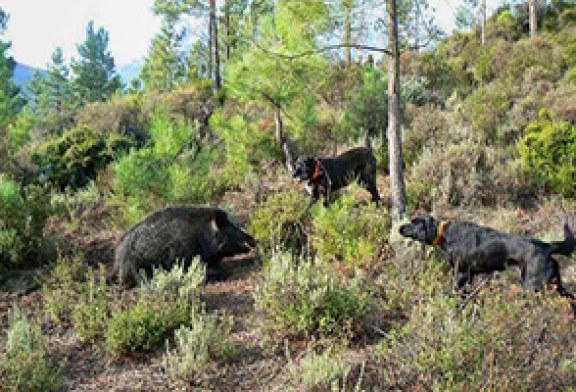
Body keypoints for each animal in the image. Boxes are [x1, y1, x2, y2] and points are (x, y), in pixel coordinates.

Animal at [400, 214, 576, 298]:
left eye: (414, 222)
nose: (399, 228)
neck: (445, 234)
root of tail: (547, 246)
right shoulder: (469, 276)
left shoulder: (461, 273)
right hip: (555, 284)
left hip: (533, 285)